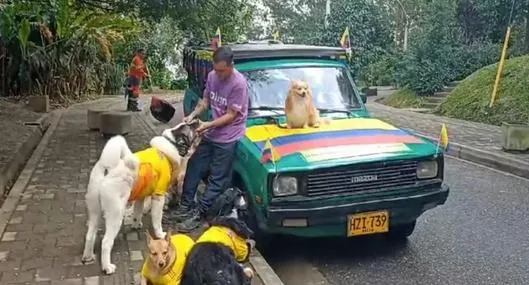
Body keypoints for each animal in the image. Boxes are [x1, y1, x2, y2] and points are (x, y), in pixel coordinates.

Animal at [80, 120, 200, 272]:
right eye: (188, 127)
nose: (197, 120)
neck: (171, 143)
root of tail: (108, 168)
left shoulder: (141, 196)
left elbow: (137, 212)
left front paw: (136, 224)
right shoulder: (159, 196)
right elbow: (157, 220)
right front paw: (160, 234)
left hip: (95, 211)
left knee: (90, 235)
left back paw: (88, 257)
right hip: (115, 214)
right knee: (106, 242)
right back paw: (107, 267)